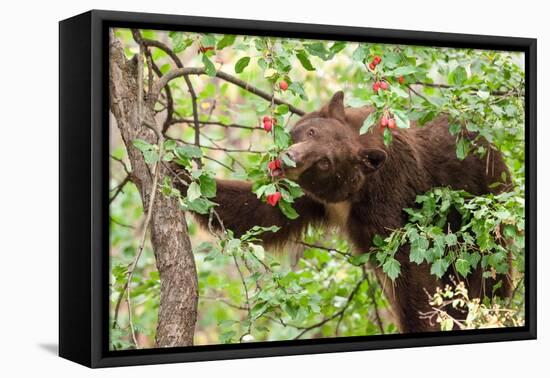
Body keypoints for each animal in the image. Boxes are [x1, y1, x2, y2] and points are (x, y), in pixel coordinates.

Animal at [176, 90, 512, 332]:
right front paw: (179, 171)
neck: (351, 195)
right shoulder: (311, 197)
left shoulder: (388, 196)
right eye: (310, 131)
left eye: (326, 161)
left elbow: (409, 267)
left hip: (481, 209)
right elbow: (263, 214)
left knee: (488, 274)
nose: (288, 159)